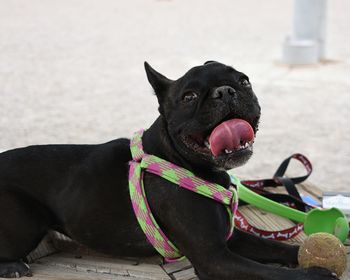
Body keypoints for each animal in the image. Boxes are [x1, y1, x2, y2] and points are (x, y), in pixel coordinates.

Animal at [0, 60, 340, 278]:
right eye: (189, 97)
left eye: (244, 80)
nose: (225, 91)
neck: (182, 161)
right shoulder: (215, 258)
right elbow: (274, 274)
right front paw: (317, 274)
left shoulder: (230, 240)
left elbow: (275, 247)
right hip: (24, 222)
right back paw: (13, 266)